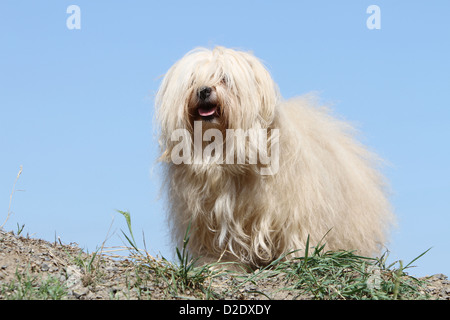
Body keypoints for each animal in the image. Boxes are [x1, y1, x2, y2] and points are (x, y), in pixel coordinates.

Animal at [156, 46, 394, 268]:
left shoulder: (294, 210)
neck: (225, 152)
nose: (203, 90)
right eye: (193, 80)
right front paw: (220, 265)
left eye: (225, 78)